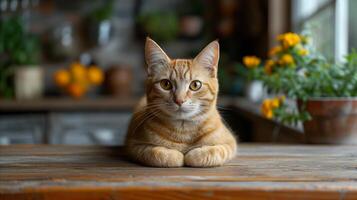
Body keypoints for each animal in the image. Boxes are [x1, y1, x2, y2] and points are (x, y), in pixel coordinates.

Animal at [125, 37, 236, 167]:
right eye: (165, 84)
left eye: (195, 85)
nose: (179, 100)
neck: (183, 131)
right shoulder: (134, 145)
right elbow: (157, 153)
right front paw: (176, 156)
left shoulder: (230, 143)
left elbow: (214, 151)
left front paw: (193, 155)